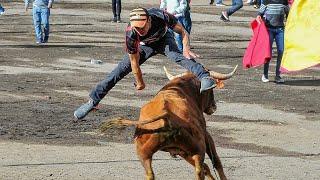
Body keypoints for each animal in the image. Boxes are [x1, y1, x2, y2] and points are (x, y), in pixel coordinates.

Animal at [102, 65, 238, 179]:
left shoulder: (182, 151)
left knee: (150, 173)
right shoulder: (205, 135)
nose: (214, 106)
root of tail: (166, 116)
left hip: (144, 153)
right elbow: (216, 161)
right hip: (198, 148)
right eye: (211, 91)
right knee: (201, 169)